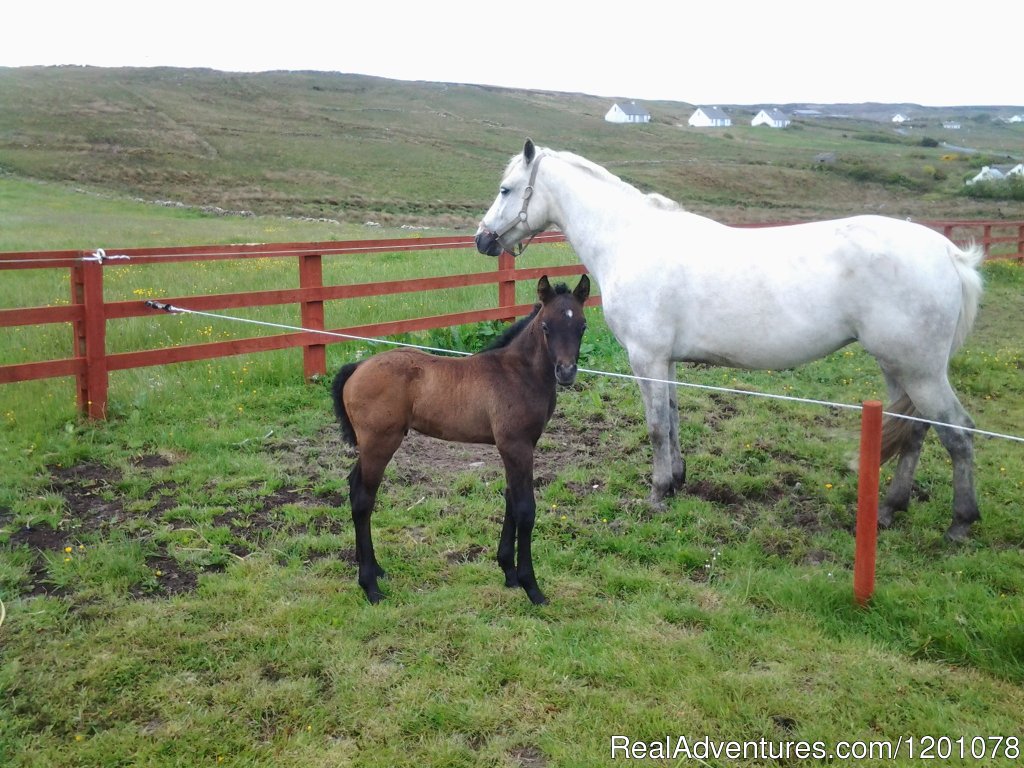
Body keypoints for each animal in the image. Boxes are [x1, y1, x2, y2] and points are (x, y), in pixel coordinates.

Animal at [475, 141, 987, 544]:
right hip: (898, 369)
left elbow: (656, 426)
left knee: (958, 433)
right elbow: (674, 421)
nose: (482, 240)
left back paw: (960, 524)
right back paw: (890, 508)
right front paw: (677, 482)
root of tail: (948, 253)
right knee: (916, 431)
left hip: (920, 371)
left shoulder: (646, 358)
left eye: (506, 189)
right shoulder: (666, 361)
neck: (630, 241)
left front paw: (657, 493)